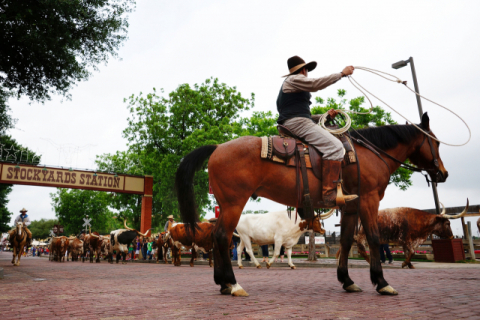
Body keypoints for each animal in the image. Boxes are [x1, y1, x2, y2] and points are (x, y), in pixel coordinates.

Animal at [175, 114, 446, 296]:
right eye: (437, 143)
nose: (443, 174)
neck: (369, 153)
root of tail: (218, 147)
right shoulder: (369, 199)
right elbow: (374, 238)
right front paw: (381, 282)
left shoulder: (350, 206)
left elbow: (345, 241)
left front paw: (347, 280)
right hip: (234, 203)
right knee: (222, 237)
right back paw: (233, 284)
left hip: (226, 205)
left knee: (218, 237)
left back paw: (222, 283)